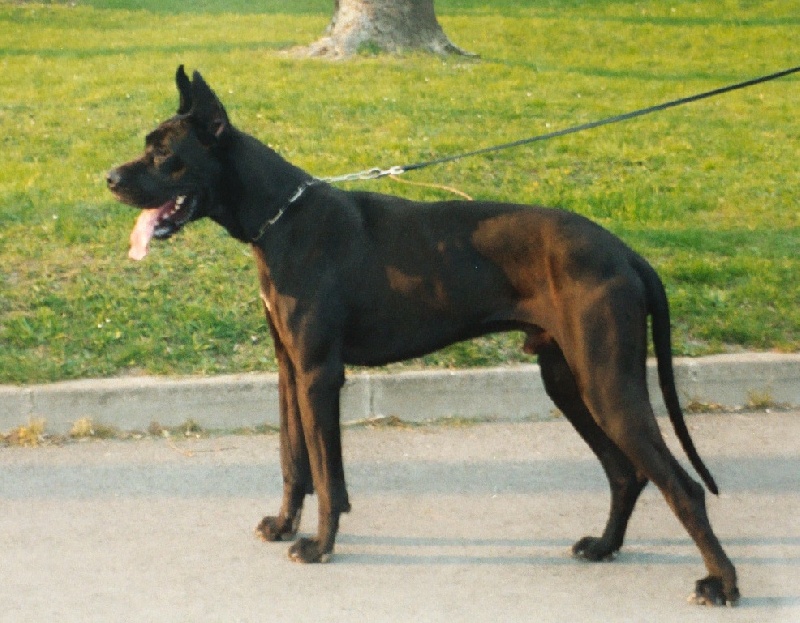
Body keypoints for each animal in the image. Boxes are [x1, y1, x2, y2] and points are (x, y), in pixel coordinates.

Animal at [107, 66, 738, 606]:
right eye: (148, 145)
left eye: (164, 155)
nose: (109, 179)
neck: (278, 217)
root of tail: (625, 252)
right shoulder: (289, 369)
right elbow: (293, 460)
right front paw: (284, 524)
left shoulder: (319, 373)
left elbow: (327, 473)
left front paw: (319, 546)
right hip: (566, 378)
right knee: (625, 471)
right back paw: (605, 547)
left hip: (606, 382)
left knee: (682, 486)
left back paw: (721, 583)